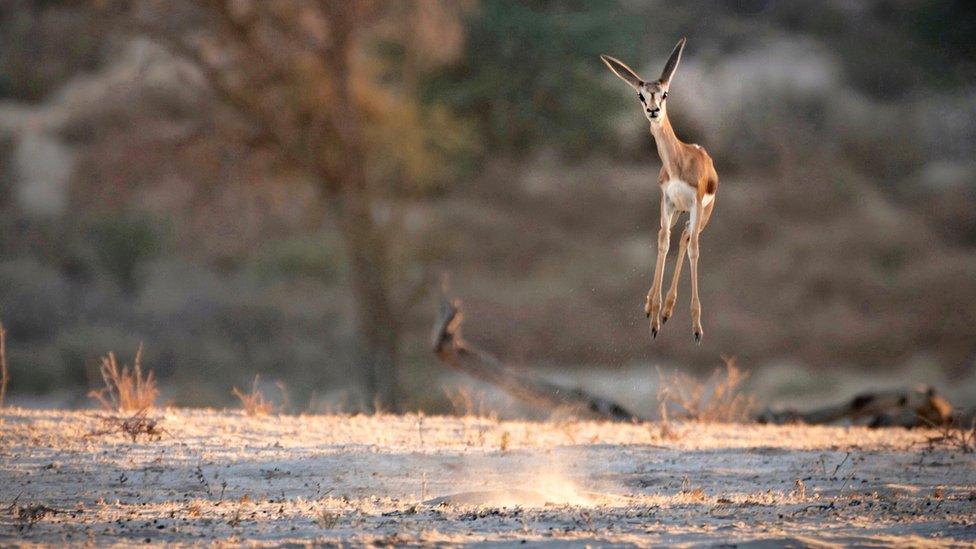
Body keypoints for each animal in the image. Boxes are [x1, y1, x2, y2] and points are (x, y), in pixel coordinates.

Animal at [604, 39, 716, 342]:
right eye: (641, 96)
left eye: (665, 94)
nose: (653, 111)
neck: (680, 161)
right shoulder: (666, 201)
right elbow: (663, 242)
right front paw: (653, 317)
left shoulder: (695, 203)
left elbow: (694, 250)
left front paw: (697, 328)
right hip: (678, 211)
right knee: (676, 238)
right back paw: (658, 310)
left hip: (701, 215)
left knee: (689, 239)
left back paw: (668, 310)